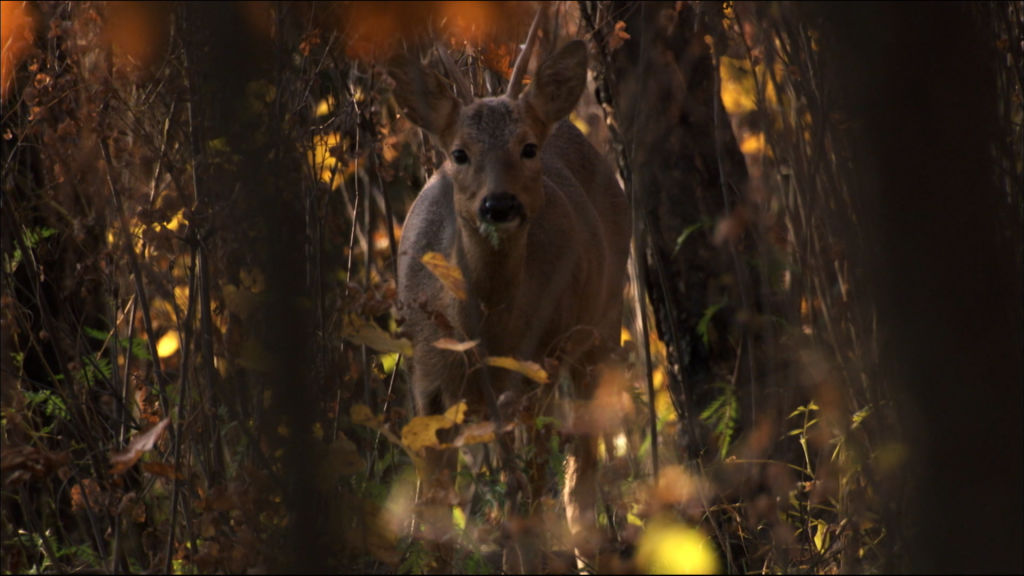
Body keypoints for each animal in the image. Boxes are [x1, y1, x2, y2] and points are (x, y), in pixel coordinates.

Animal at [389, 13, 630, 569]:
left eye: (527, 148)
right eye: (459, 153)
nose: (498, 205)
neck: (487, 330)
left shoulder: (536, 362)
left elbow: (530, 492)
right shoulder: (426, 376)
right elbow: (433, 511)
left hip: (600, 328)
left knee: (574, 476)